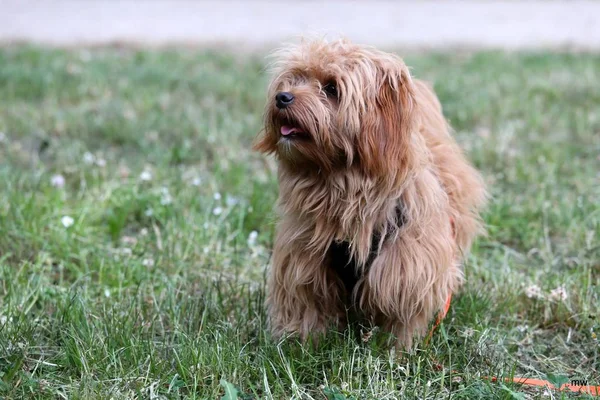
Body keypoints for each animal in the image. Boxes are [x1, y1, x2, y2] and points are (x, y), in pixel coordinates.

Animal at [254, 39, 488, 348]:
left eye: (331, 88)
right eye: (294, 78)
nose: (282, 97)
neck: (342, 183)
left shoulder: (405, 262)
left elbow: (400, 307)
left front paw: (397, 349)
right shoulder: (304, 256)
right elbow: (308, 303)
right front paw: (302, 344)